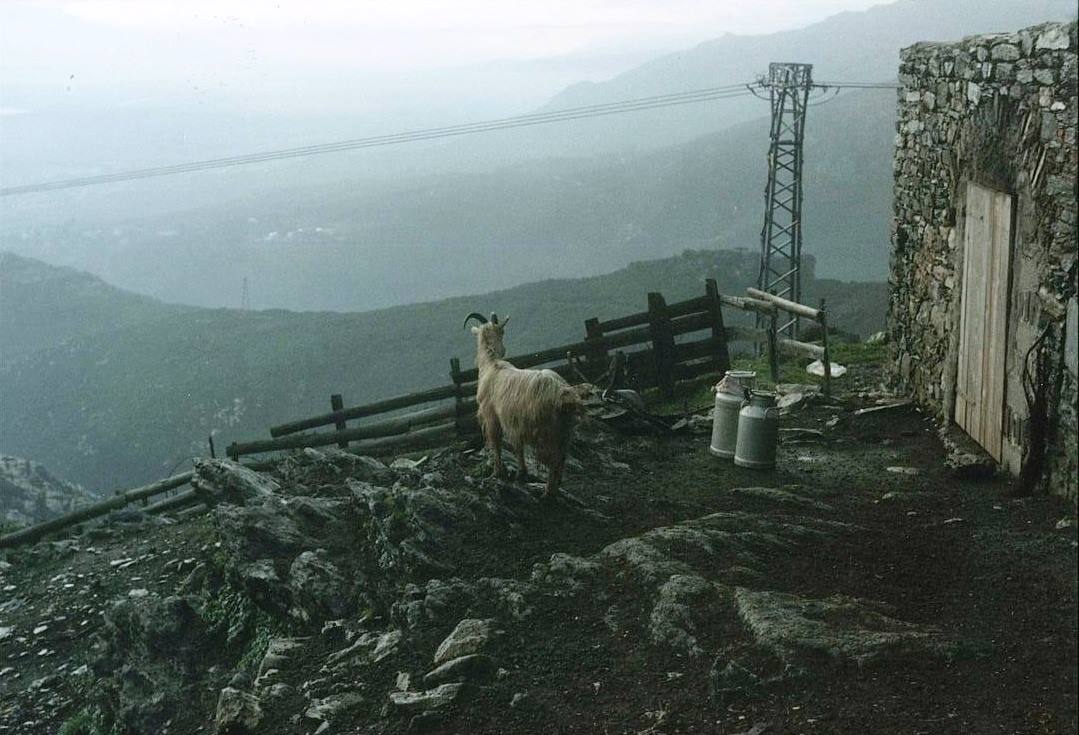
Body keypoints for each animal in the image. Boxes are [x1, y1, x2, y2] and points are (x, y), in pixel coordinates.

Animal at [464, 312, 581, 498]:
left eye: (503, 331)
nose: (504, 349)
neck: (492, 365)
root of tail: (562, 393)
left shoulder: (492, 416)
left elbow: (496, 443)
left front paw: (498, 472)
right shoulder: (514, 423)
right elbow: (517, 447)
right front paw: (522, 473)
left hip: (547, 431)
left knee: (553, 459)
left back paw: (548, 493)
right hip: (565, 430)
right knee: (562, 457)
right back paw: (556, 487)